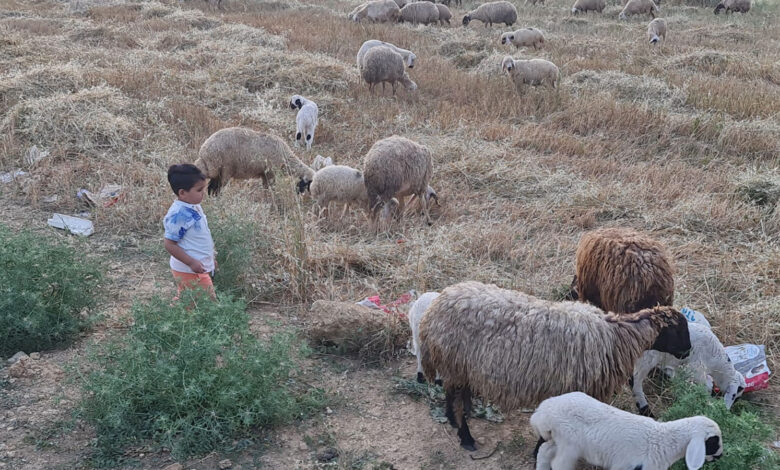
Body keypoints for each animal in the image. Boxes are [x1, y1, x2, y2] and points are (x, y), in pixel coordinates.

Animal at [418, 280, 692, 450]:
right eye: (678, 331)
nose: (687, 351)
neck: (617, 335)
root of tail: (433, 312)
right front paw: (540, 449)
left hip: (460, 367)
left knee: (454, 392)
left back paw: (458, 416)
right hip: (455, 362)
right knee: (454, 395)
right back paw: (465, 436)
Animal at [532, 392, 724, 470]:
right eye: (714, 441)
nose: (721, 456)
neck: (663, 441)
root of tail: (543, 411)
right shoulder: (629, 466)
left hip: (557, 438)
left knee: (544, 451)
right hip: (569, 444)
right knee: (558, 463)